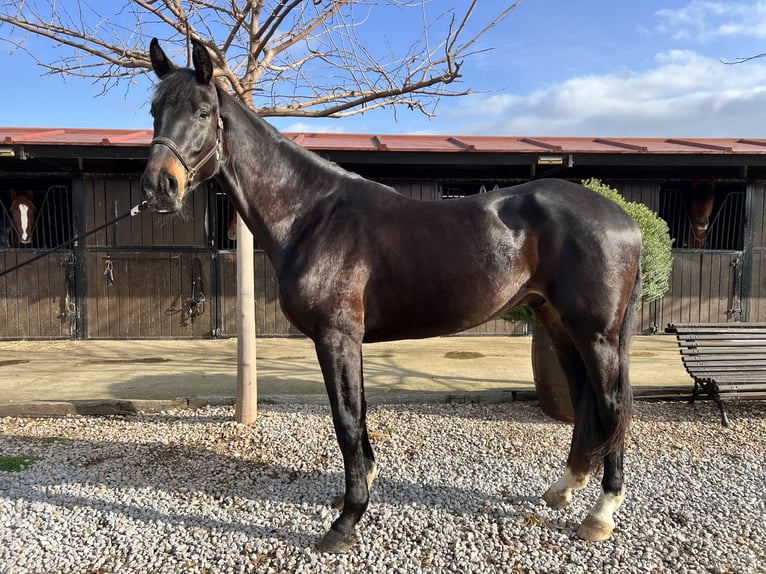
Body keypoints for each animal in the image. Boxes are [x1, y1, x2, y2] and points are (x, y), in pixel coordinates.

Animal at [142, 38, 640, 556]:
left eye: (202, 113)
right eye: (155, 111)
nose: (159, 186)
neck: (310, 215)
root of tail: (624, 219)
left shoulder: (336, 337)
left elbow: (345, 419)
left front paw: (346, 520)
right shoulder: (348, 340)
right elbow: (357, 414)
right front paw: (359, 490)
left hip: (596, 335)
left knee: (611, 406)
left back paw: (601, 514)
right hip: (559, 325)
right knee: (584, 401)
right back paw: (564, 488)